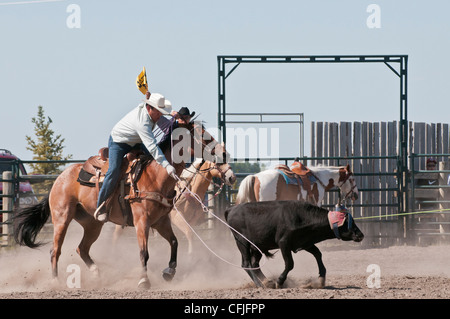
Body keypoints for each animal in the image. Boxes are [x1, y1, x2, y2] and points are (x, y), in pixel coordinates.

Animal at [13, 120, 219, 290]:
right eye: (202, 135)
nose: (222, 153)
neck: (155, 176)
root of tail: (59, 179)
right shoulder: (142, 221)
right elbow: (144, 252)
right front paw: (144, 281)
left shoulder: (161, 221)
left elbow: (175, 242)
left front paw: (169, 273)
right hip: (62, 218)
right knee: (55, 250)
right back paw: (56, 281)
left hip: (92, 224)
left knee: (82, 248)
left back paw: (97, 275)